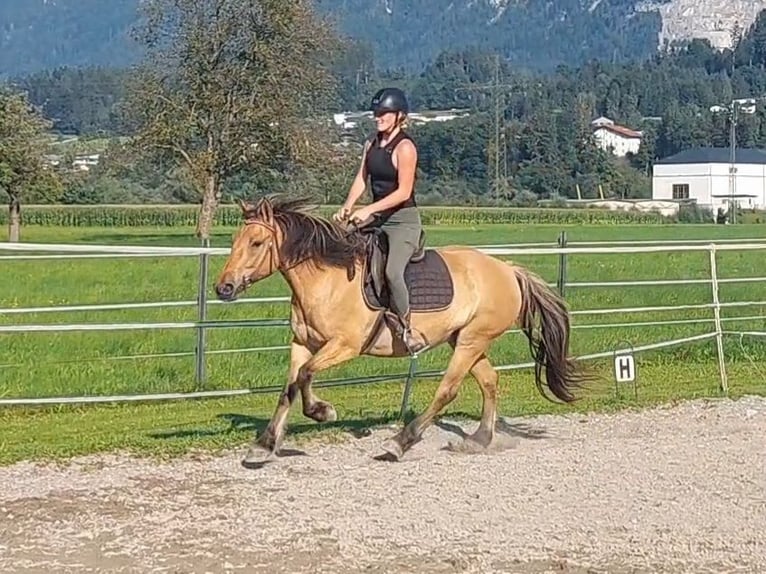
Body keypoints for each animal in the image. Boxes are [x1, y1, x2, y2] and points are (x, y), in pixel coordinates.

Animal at [214, 194, 591, 466]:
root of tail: (508, 270)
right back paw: (478, 439)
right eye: (234, 240)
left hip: (471, 340)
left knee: (447, 391)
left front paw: (323, 411)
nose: (224, 288)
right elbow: (289, 388)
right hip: (464, 339)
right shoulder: (302, 343)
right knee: (489, 380)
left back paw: (398, 443)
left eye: (257, 243)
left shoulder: (344, 346)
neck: (327, 279)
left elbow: (305, 376)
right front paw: (263, 447)